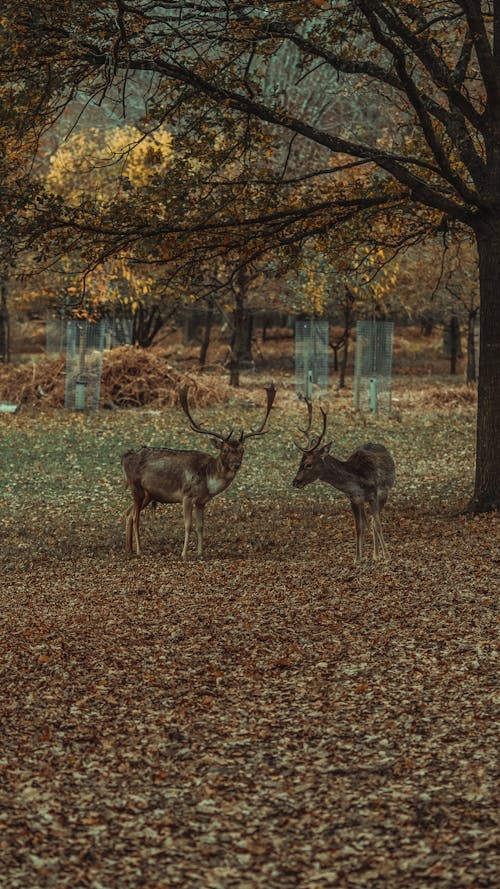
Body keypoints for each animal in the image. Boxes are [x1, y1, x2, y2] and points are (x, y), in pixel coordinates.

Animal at [122, 386, 278, 560]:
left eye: (242, 450)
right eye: (224, 450)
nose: (236, 465)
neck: (208, 482)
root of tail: (125, 457)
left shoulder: (201, 501)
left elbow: (201, 526)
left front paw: (200, 553)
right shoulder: (186, 496)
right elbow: (188, 525)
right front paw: (184, 554)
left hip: (148, 494)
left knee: (128, 513)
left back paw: (128, 549)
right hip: (135, 487)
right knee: (135, 517)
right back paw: (139, 550)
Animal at [292, 400, 396, 560]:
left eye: (308, 464)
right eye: (300, 462)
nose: (295, 482)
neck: (358, 481)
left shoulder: (374, 494)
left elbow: (377, 524)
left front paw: (385, 555)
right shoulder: (353, 499)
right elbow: (359, 526)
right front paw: (358, 558)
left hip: (385, 493)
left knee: (374, 521)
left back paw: (377, 554)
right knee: (367, 521)